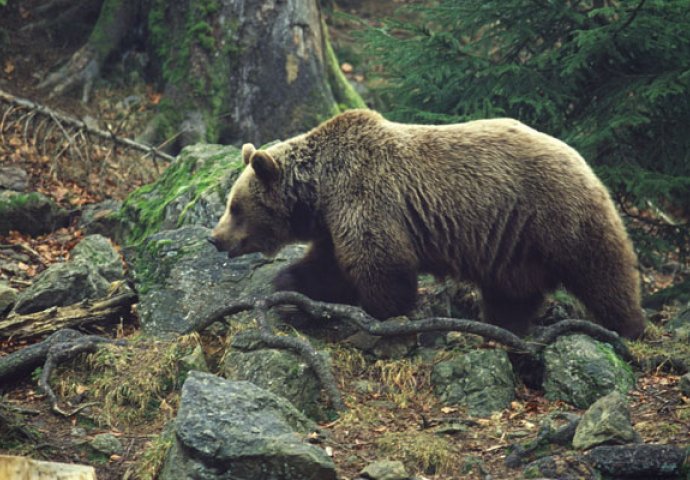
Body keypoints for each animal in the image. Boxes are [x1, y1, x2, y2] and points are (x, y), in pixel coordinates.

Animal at [210, 110, 644, 340]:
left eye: (235, 206)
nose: (215, 238)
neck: (321, 191)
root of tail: (582, 159)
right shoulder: (336, 221)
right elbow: (328, 267)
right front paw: (288, 285)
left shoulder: (367, 197)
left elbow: (381, 264)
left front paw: (381, 310)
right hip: (512, 245)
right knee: (511, 290)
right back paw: (504, 323)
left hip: (554, 214)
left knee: (602, 270)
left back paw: (627, 326)